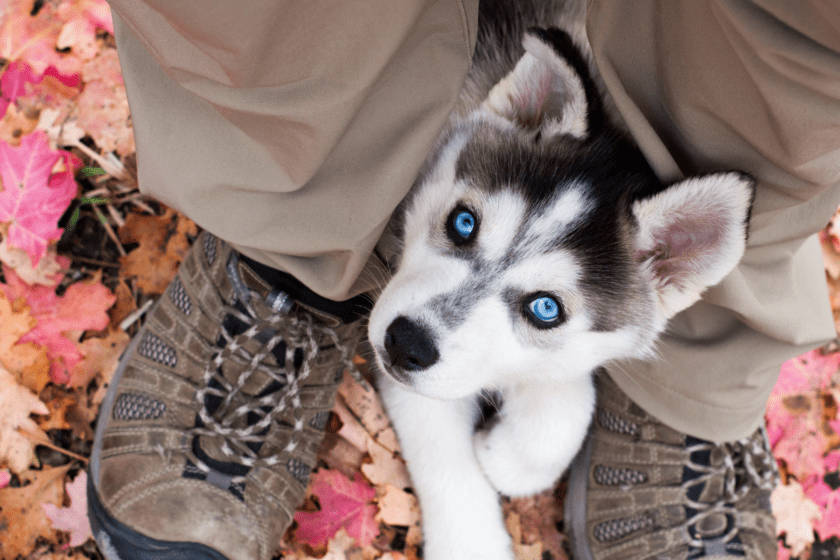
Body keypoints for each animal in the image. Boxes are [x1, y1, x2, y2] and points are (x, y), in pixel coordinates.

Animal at [368, 2, 756, 556]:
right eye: (463, 222)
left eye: (545, 308)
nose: (406, 343)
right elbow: (442, 449)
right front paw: (472, 538)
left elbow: (568, 398)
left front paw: (510, 455)